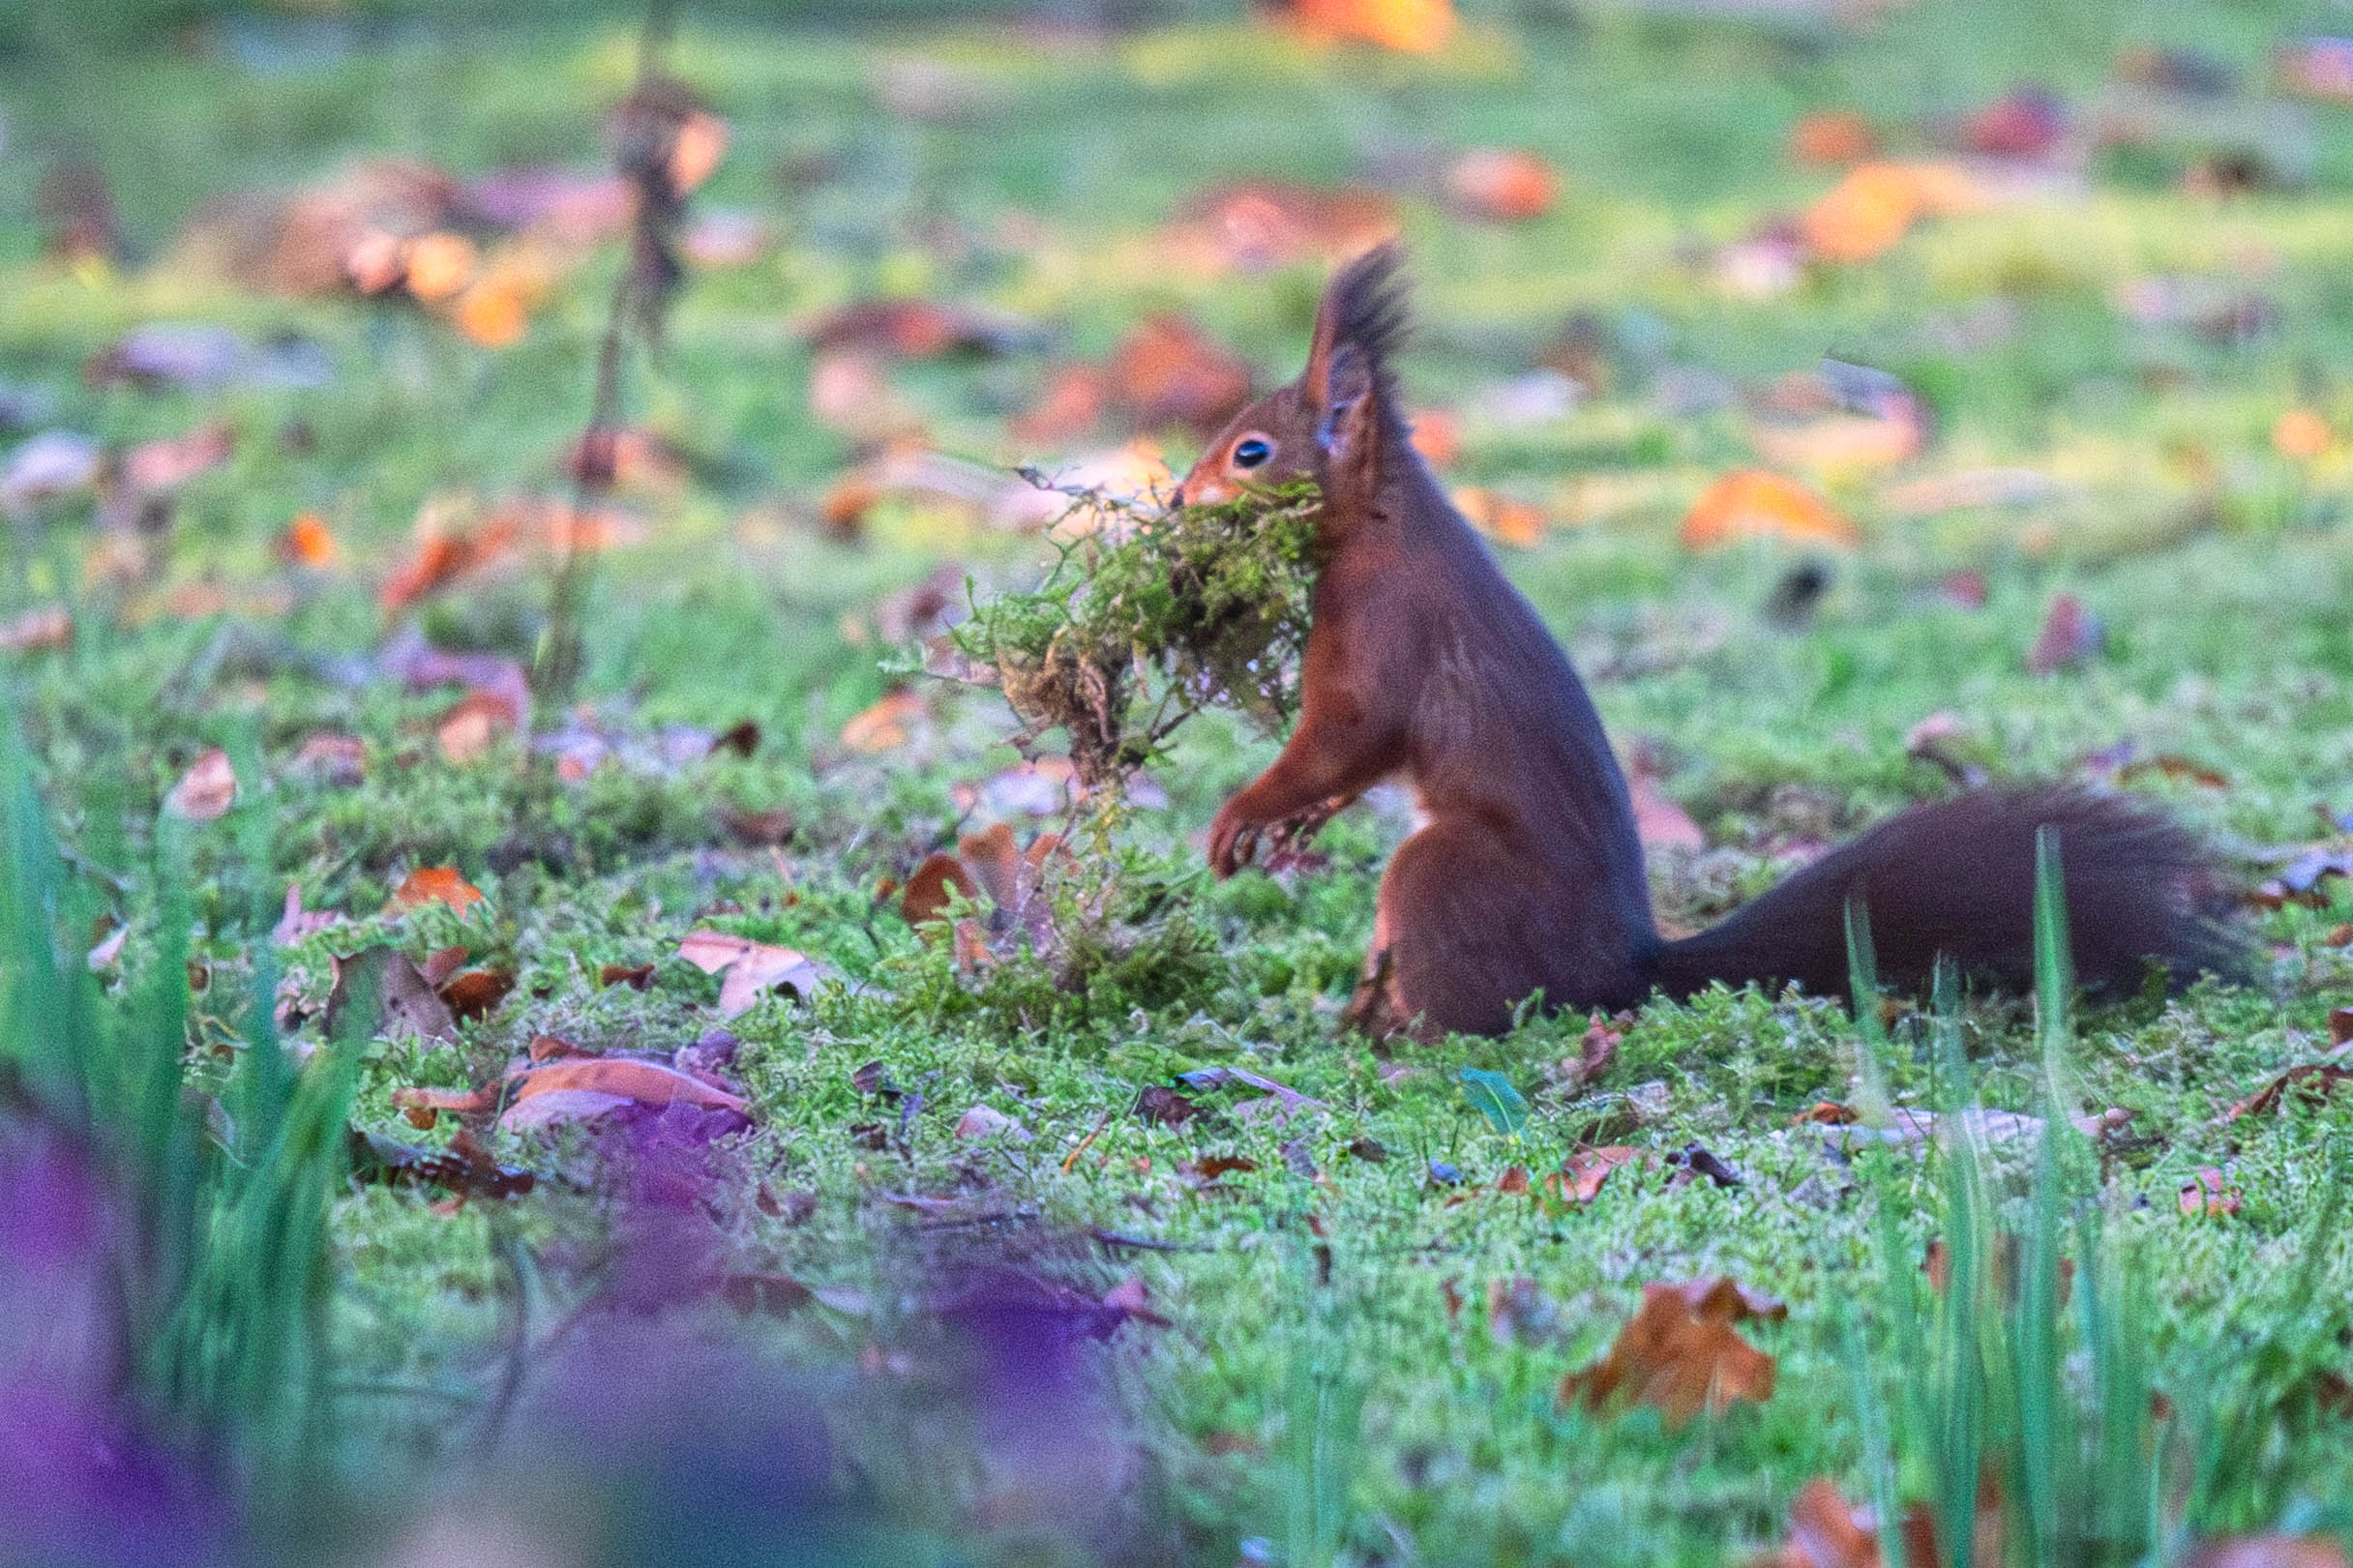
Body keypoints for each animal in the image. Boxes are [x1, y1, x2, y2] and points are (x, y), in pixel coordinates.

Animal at [1175, 243, 2241, 1039]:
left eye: (1251, 451)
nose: (1180, 496)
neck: (1381, 525)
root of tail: (1625, 969)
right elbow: (1351, 762)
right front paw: (1294, 823)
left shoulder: (1382, 629)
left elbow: (1345, 734)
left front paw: (1242, 813)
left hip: (1446, 874)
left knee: (1483, 1002)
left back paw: (1397, 1031)